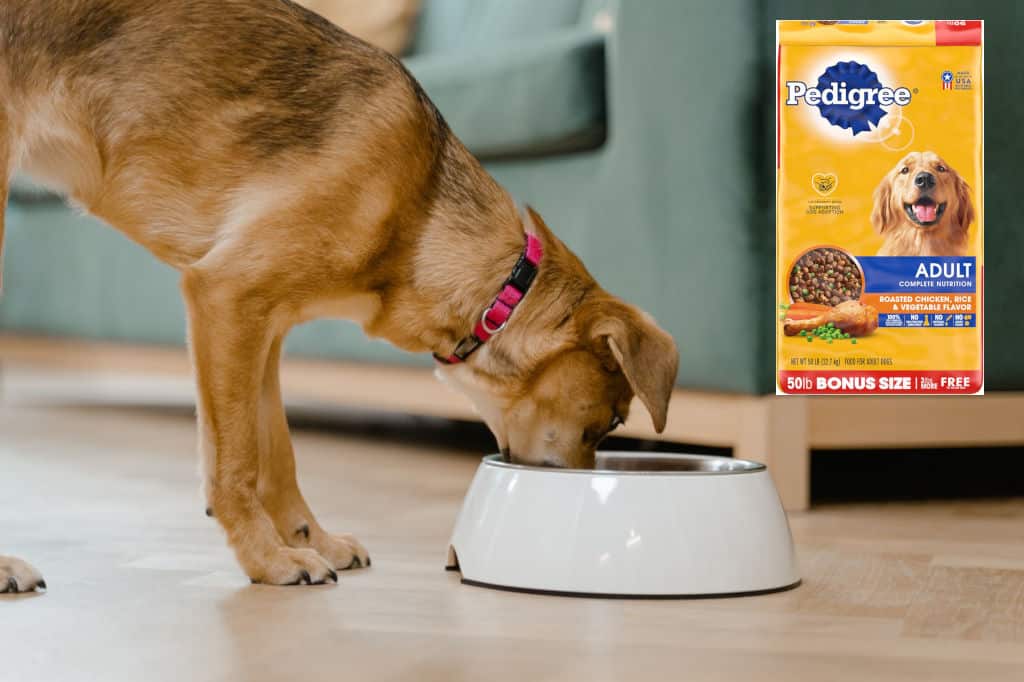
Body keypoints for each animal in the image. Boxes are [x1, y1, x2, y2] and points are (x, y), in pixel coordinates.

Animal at [0, 0, 679, 585]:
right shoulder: (225, 295)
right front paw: (268, 561)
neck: (420, 213)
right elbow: (236, 461)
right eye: (609, 422)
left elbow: (276, 454)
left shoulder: (261, 328)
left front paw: (309, 540)